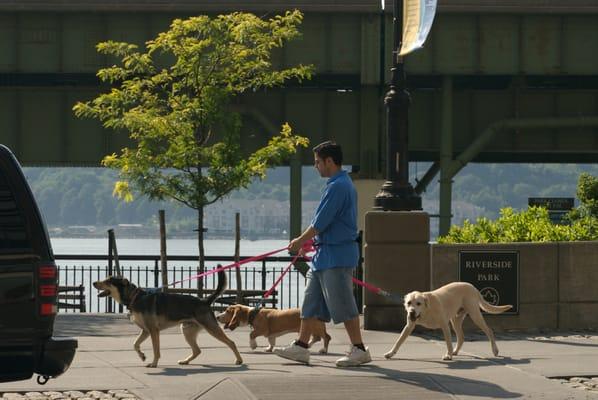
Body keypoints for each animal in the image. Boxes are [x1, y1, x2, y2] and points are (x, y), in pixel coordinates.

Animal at [94, 268, 244, 368]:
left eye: (108, 281)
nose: (94, 283)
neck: (135, 297)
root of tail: (204, 301)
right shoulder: (146, 331)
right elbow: (135, 344)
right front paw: (142, 356)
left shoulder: (153, 331)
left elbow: (156, 350)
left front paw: (154, 363)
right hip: (187, 330)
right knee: (197, 350)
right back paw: (185, 361)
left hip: (211, 328)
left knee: (231, 343)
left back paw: (239, 360)